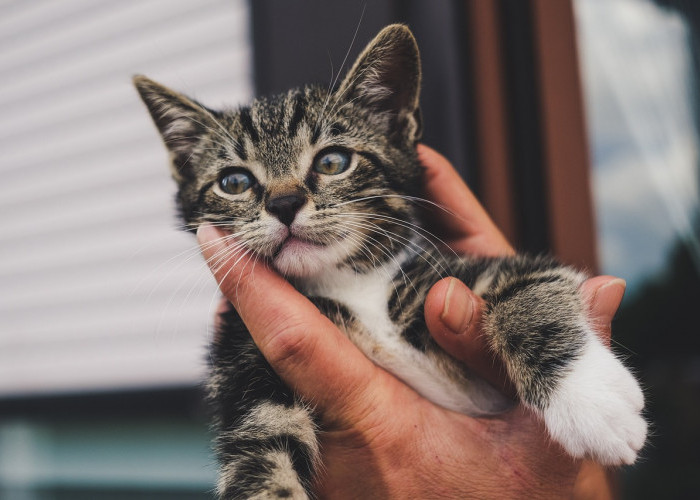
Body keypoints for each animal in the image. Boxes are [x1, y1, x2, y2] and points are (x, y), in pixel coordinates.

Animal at [134, 23, 648, 500]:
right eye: (235, 182)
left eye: (332, 162)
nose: (283, 203)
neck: (350, 285)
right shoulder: (244, 361)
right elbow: (260, 452)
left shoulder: (468, 276)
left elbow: (530, 289)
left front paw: (591, 401)